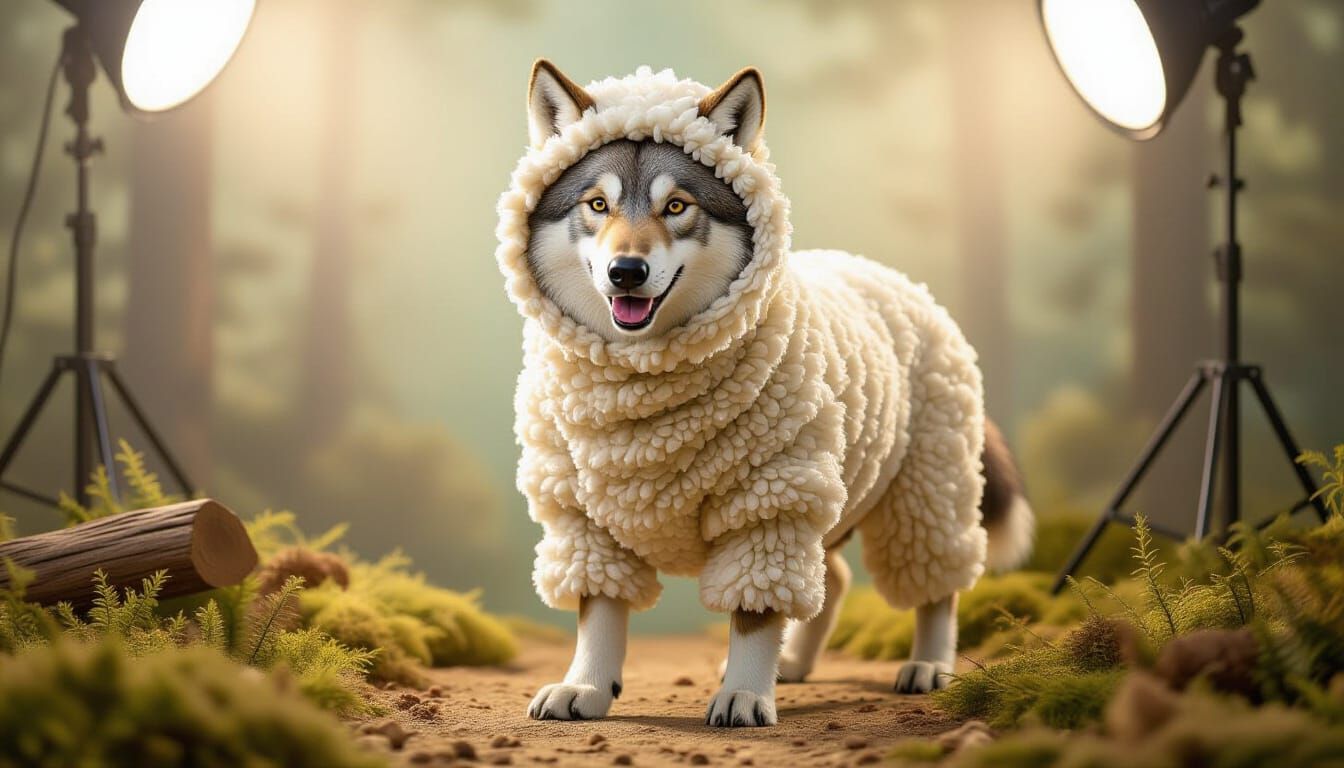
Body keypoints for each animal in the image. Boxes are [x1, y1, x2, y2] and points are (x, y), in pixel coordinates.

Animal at [500, 61, 1033, 728]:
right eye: (597, 204)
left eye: (677, 206)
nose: (626, 271)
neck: (642, 394)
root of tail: (898, 279)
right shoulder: (582, 517)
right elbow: (598, 612)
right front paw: (587, 687)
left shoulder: (769, 505)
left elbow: (754, 616)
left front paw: (745, 693)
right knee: (834, 579)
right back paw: (795, 664)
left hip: (924, 492)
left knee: (937, 585)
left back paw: (930, 664)